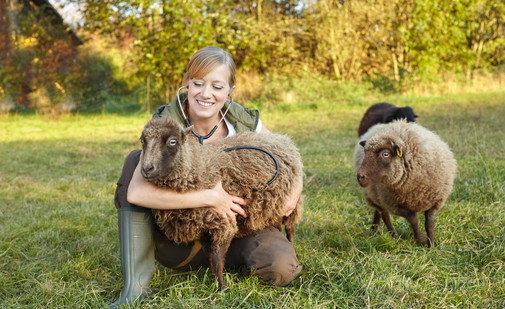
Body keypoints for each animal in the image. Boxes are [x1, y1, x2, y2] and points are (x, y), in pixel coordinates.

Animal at [352, 119, 454, 247]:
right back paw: (393, 235)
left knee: (379, 212)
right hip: (375, 196)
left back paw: (374, 229)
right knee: (384, 214)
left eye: (385, 154)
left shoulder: (436, 202)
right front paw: (420, 239)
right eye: (365, 153)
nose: (360, 177)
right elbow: (413, 220)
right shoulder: (395, 205)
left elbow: (429, 225)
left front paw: (431, 245)